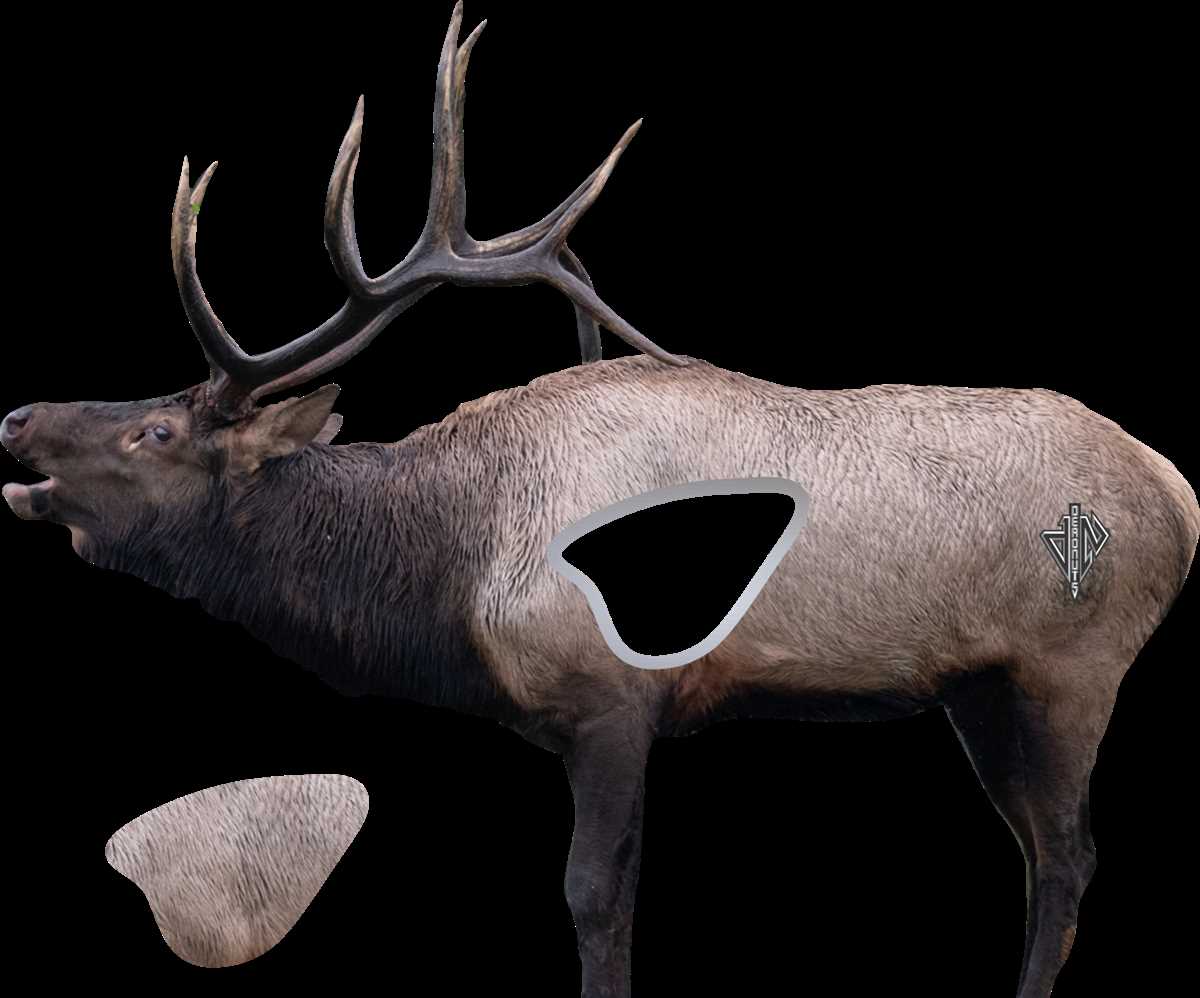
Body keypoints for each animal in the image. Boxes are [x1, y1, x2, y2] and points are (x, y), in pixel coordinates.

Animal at [1, 5, 1195, 996]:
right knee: (1035, 850)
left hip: (1072, 666)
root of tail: (1180, 493)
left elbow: (593, 899)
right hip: (979, 686)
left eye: (155, 432)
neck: (449, 568)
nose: (16, 419)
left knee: (1070, 853)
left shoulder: (612, 700)